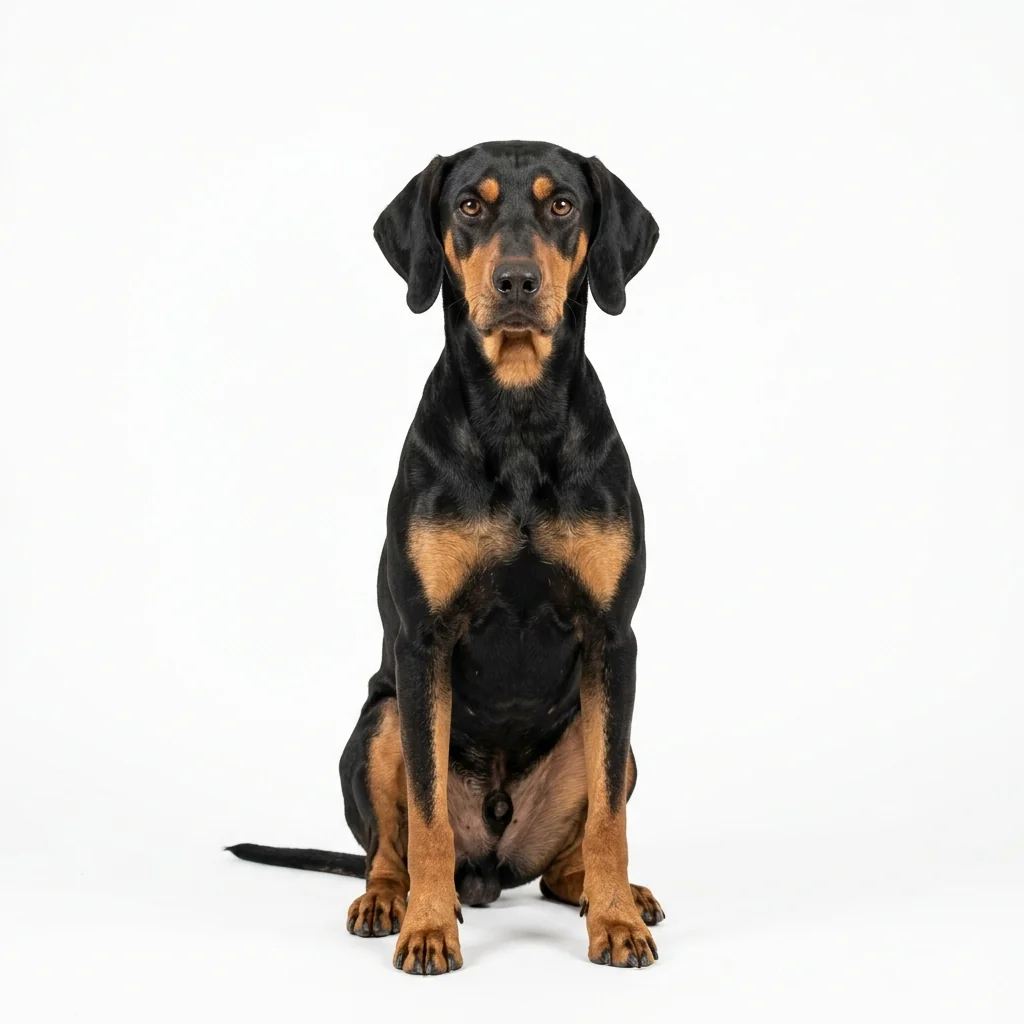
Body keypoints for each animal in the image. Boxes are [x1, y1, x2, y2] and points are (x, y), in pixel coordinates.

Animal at [229, 140, 663, 974]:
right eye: (469, 205)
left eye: (562, 204)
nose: (517, 281)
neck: (519, 419)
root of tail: (491, 867)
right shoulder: (423, 643)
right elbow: (426, 816)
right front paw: (427, 930)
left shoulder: (612, 642)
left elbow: (610, 823)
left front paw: (618, 923)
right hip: (380, 720)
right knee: (389, 847)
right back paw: (387, 901)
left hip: (615, 742)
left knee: (572, 851)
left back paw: (611, 892)